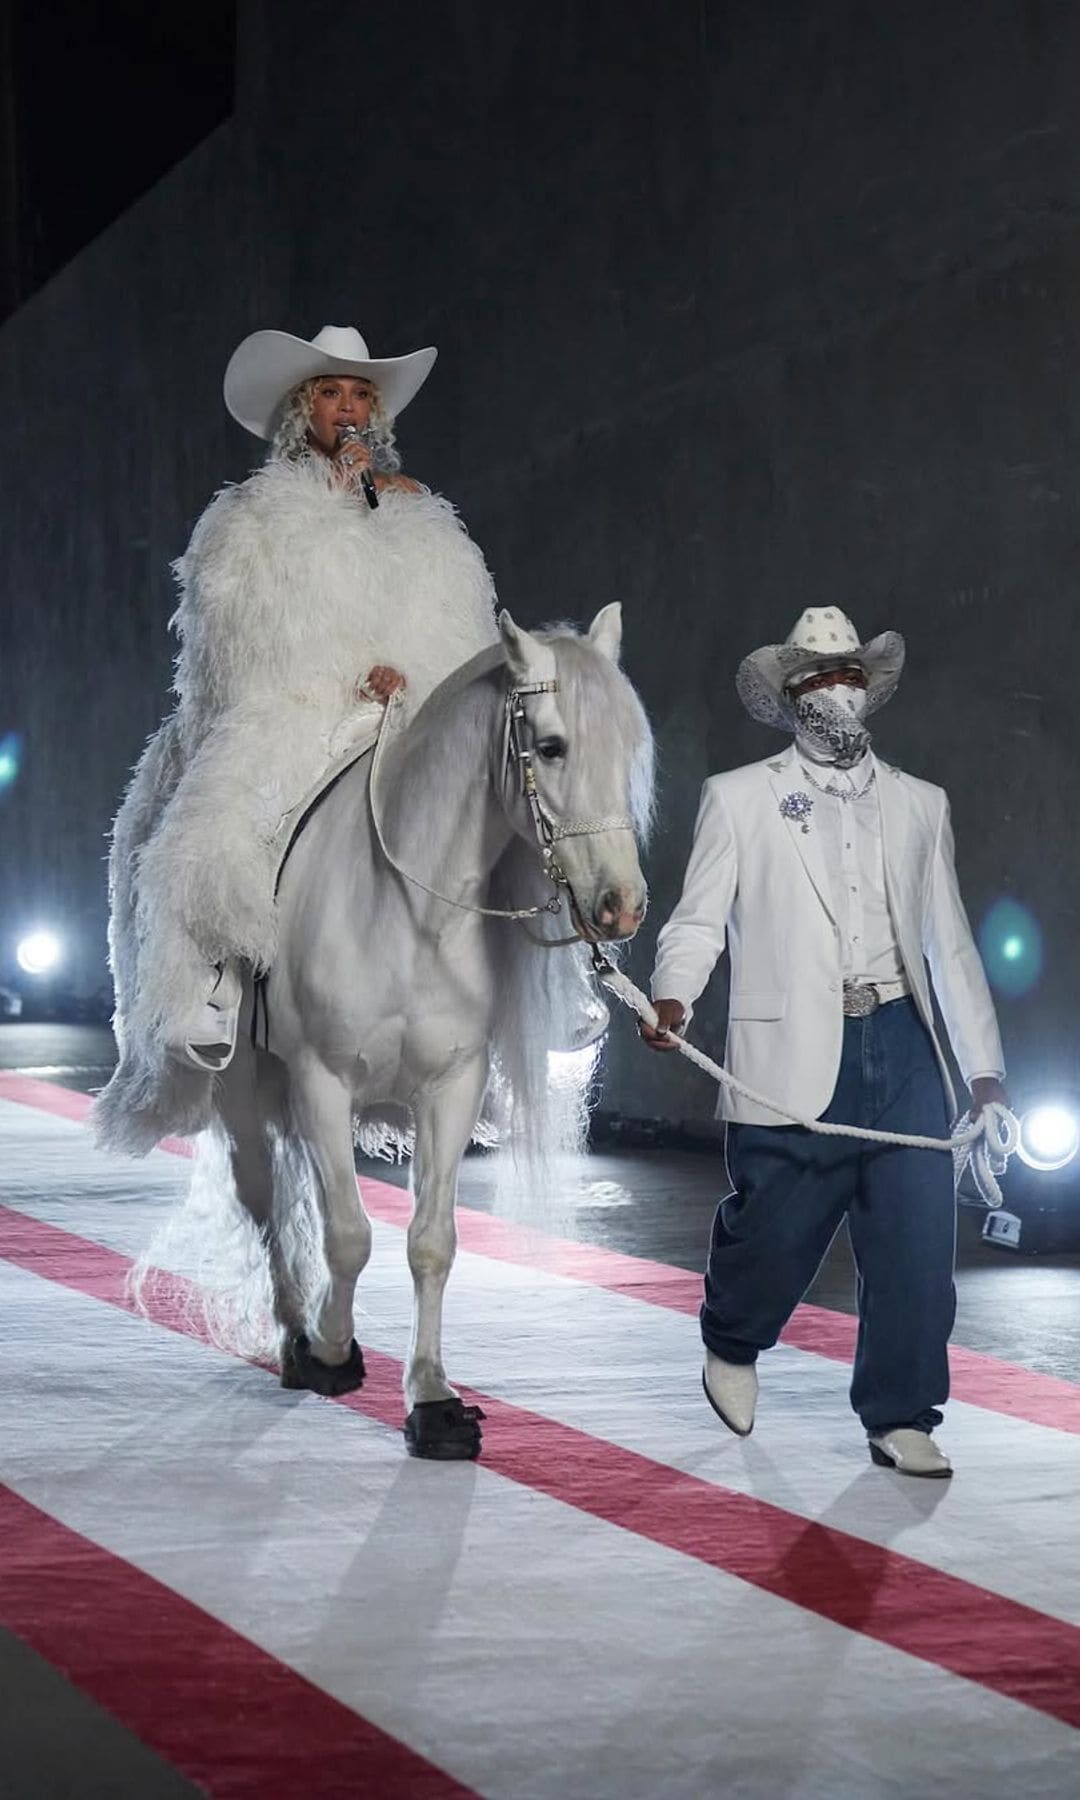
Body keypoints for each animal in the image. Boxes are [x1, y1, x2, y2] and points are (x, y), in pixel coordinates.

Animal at [206, 604, 655, 1461]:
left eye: (626, 748)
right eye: (553, 746)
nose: (622, 906)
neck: (409, 913)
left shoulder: (451, 1086)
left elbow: (430, 1241)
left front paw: (432, 1400)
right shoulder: (321, 1080)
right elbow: (349, 1234)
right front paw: (332, 1350)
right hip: (249, 1086)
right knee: (268, 1197)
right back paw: (294, 1333)